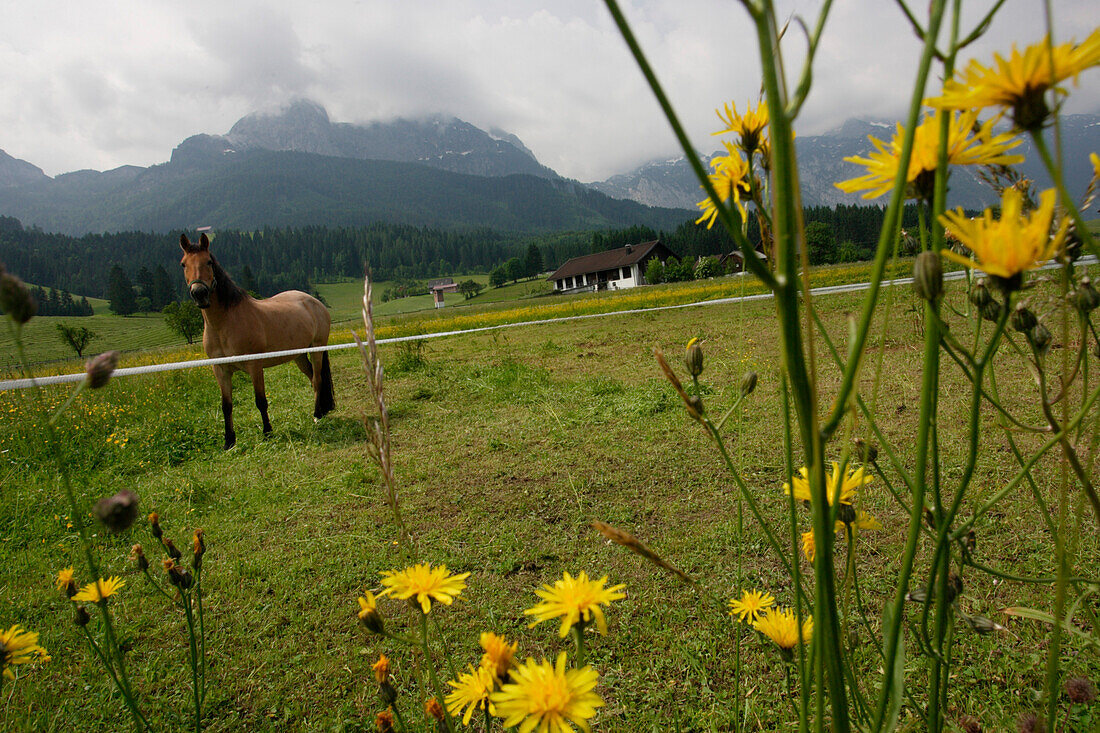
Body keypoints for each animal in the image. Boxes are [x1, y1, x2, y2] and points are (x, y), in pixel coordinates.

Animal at [178, 231, 334, 449]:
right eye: (183, 264)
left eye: (208, 261)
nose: (199, 293)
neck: (225, 324)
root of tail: (315, 302)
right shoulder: (220, 370)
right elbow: (226, 405)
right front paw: (229, 441)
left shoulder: (254, 366)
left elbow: (260, 400)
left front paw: (267, 432)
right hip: (299, 355)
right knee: (312, 378)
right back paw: (321, 410)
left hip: (317, 349)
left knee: (318, 379)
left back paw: (317, 414)